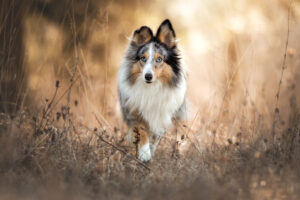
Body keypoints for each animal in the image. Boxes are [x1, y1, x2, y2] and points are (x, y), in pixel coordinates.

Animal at [118, 19, 186, 162]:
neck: (151, 88)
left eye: (159, 59)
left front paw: (149, 151)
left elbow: (155, 137)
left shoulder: (162, 115)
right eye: (143, 58)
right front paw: (144, 154)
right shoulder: (135, 110)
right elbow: (142, 130)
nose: (147, 76)